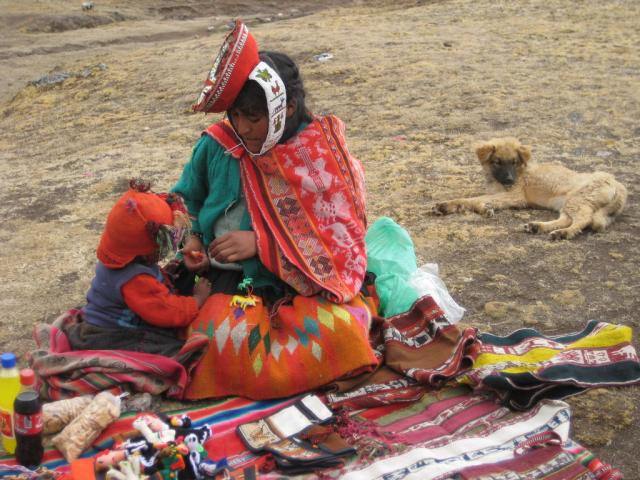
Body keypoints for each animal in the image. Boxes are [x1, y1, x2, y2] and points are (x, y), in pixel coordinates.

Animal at [432, 138, 628, 239]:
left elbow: (472, 199)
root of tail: (617, 184)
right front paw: (484, 209)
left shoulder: (515, 196)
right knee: (566, 219)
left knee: (583, 220)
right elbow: (481, 200)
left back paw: (563, 233)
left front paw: (445, 205)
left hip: (577, 200)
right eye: (497, 162)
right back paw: (537, 227)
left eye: (514, 161)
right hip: (568, 203)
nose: (509, 180)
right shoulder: (502, 194)